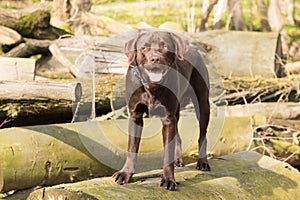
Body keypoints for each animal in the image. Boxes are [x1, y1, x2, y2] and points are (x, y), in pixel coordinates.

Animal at [113, 28, 211, 190]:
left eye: (165, 46)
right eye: (144, 47)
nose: (155, 59)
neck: (151, 87)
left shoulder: (167, 117)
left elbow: (167, 152)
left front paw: (168, 179)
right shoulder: (135, 115)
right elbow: (132, 148)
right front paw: (125, 173)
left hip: (202, 104)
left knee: (202, 135)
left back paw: (202, 162)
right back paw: (178, 160)